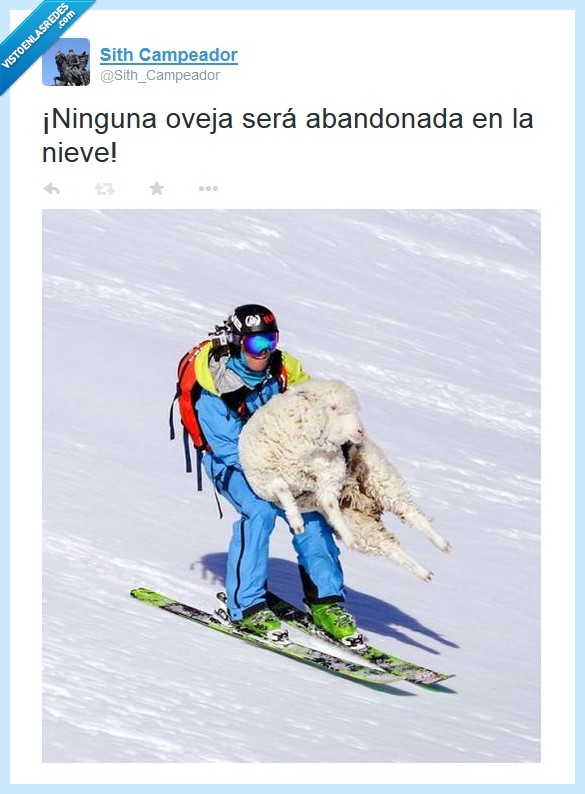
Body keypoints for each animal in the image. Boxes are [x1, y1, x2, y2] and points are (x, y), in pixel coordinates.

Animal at [238, 380, 364, 549]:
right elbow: (283, 488)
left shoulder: (329, 477)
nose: (361, 431)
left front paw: (350, 538)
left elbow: (331, 505)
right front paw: (297, 522)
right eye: (333, 407)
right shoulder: (267, 477)